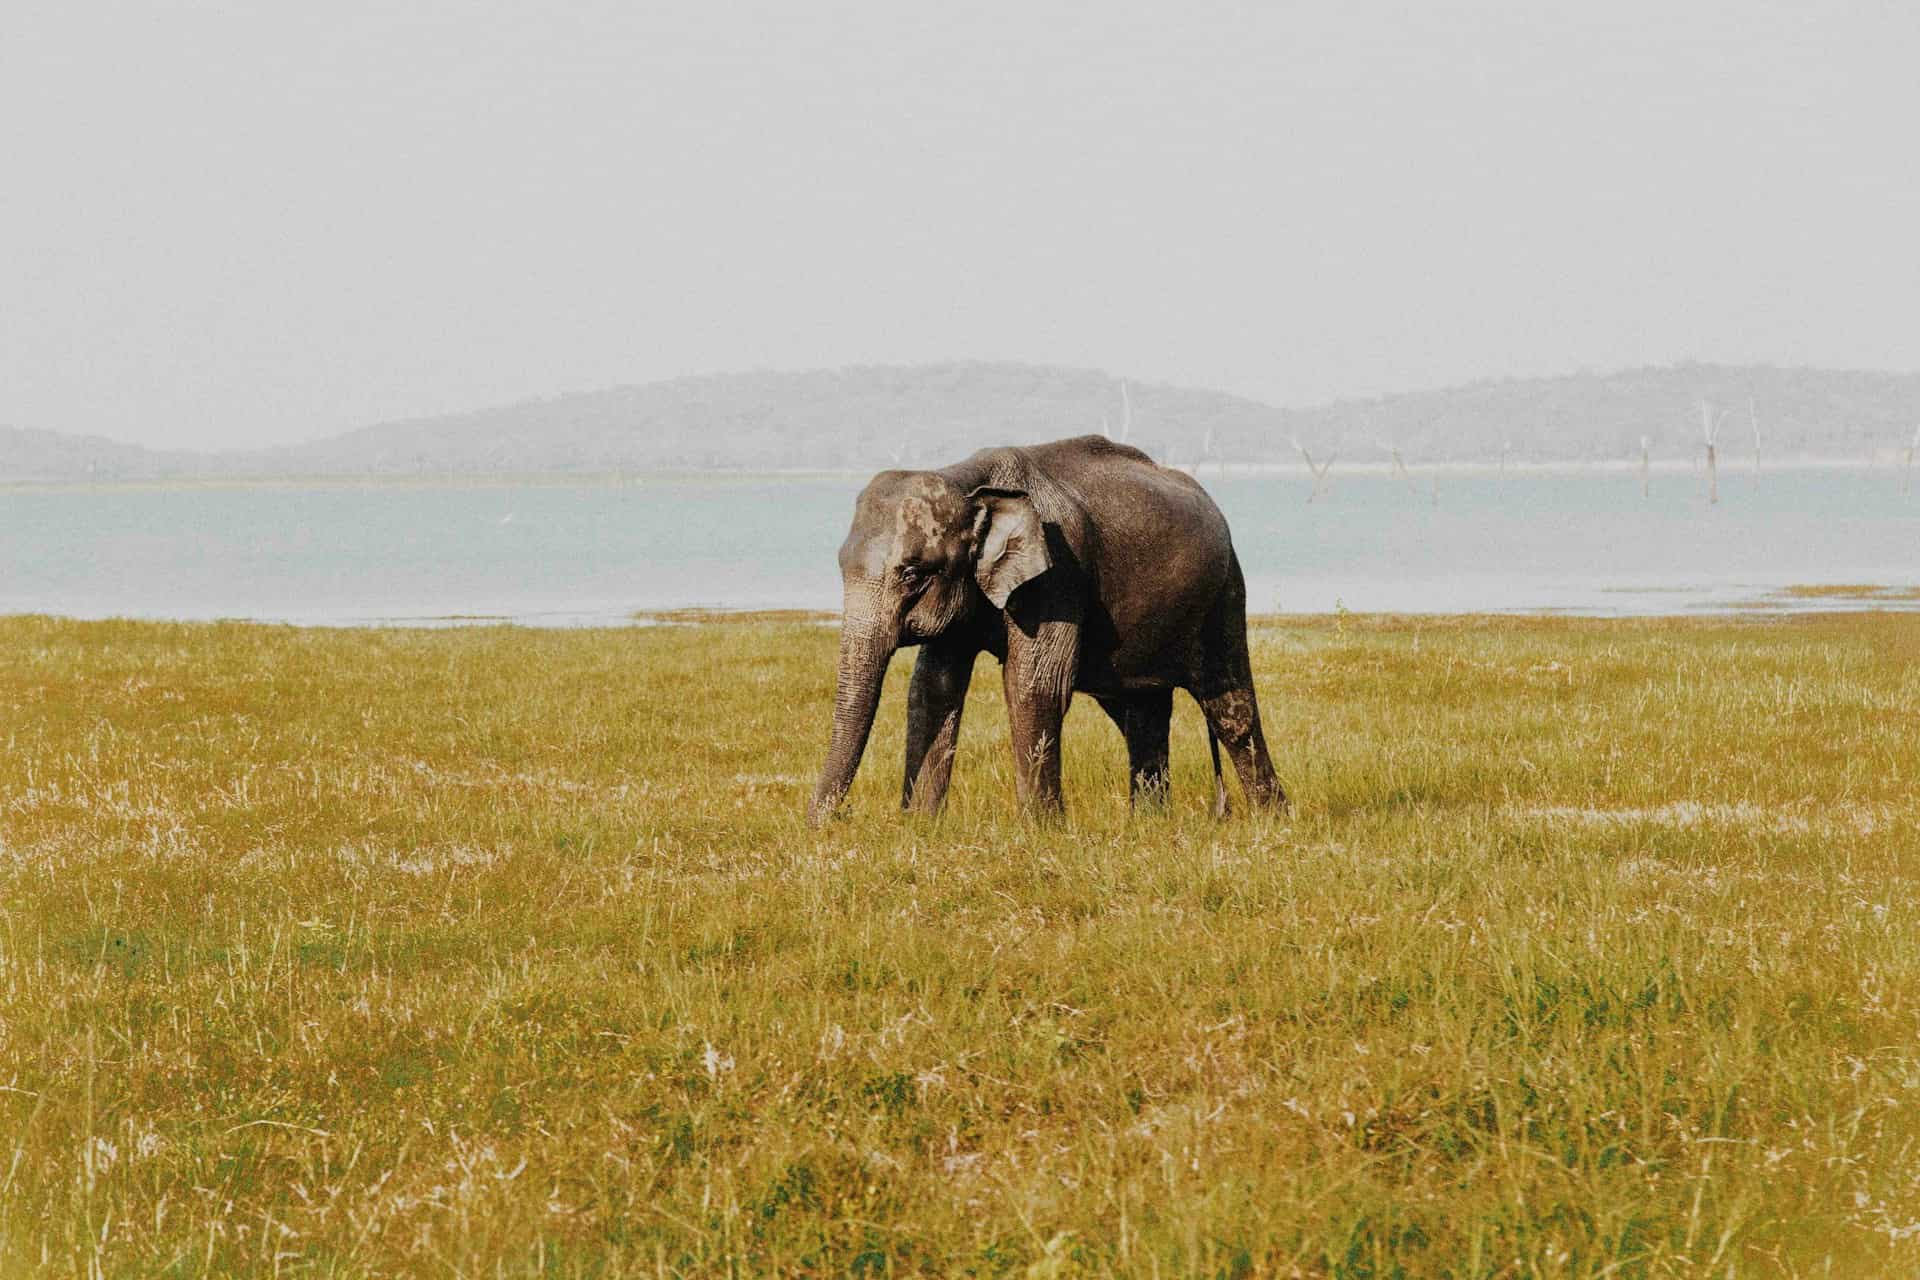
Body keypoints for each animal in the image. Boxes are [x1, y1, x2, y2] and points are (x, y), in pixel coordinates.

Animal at [808, 434, 1286, 823]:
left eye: (911, 574)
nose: (835, 820)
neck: (966, 479)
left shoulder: (1058, 574)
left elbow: (1034, 685)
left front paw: (1040, 831)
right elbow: (932, 688)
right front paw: (920, 827)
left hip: (1224, 592)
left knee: (1229, 706)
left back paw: (1271, 821)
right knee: (1140, 713)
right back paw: (1151, 824)